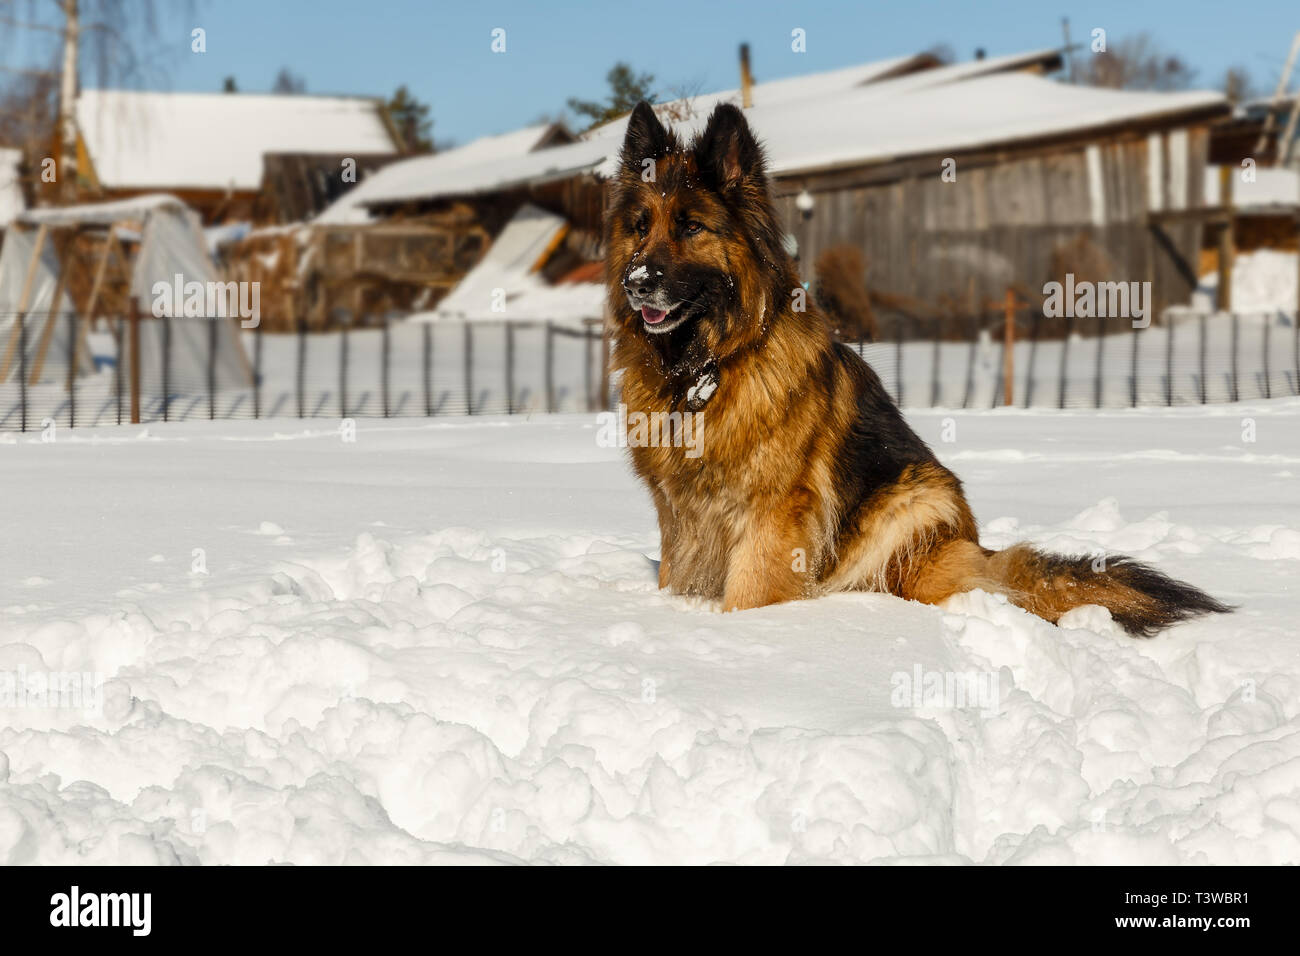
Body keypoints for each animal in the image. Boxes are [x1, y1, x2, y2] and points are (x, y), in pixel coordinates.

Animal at [603, 102, 1232, 634]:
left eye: (691, 227)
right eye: (640, 225)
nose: (637, 283)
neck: (703, 367)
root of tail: (979, 547)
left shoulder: (774, 515)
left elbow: (750, 596)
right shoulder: (676, 514)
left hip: (911, 504)